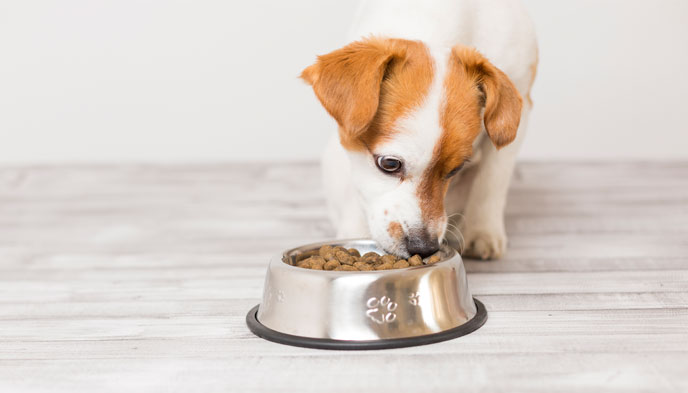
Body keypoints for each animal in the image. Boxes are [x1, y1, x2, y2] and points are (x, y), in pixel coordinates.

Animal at [300, 0, 536, 260]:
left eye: (456, 169)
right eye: (389, 164)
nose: (423, 248)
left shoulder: (519, 108)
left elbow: (492, 180)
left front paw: (482, 231)